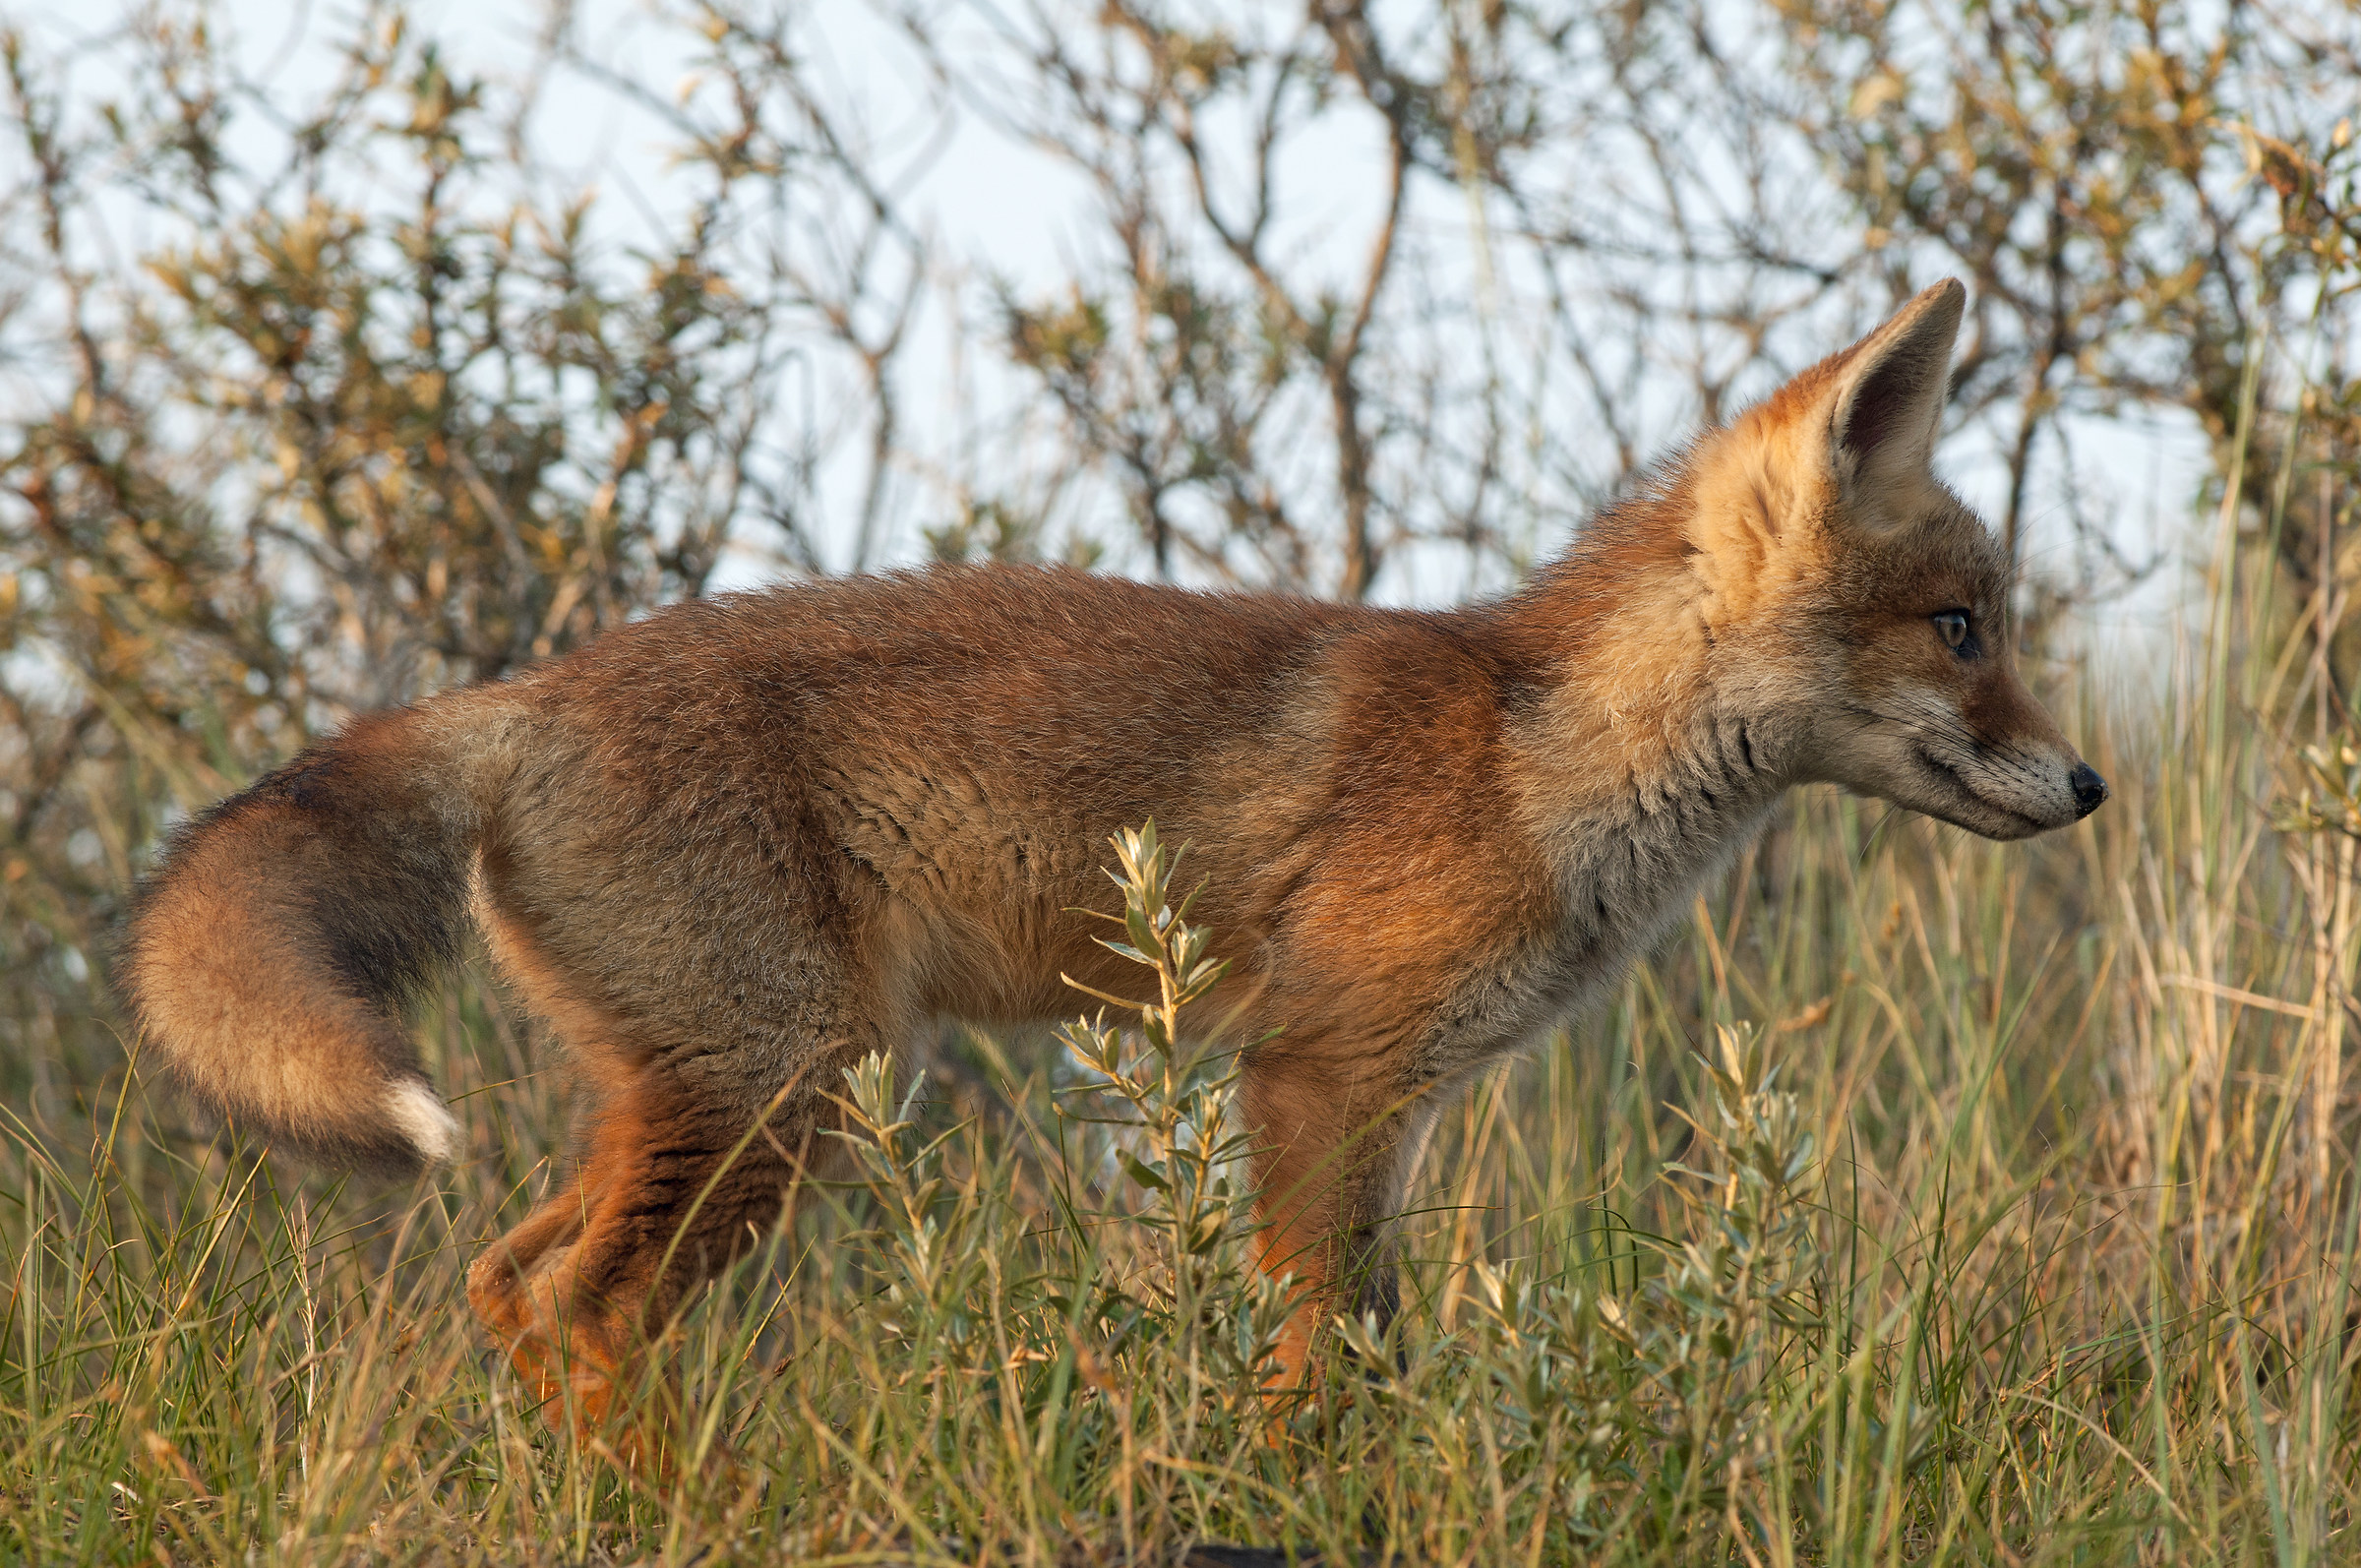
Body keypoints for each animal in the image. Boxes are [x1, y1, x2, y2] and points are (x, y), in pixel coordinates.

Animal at [120, 279, 2105, 1454]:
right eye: (1961, 628)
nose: (2088, 783)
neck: (1538, 756)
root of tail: (529, 690)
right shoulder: (1317, 1073)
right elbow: (1320, 1372)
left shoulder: (1385, 1106)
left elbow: (1364, 1349)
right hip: (785, 1094)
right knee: (580, 1308)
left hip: (712, 1094)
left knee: (505, 1282)